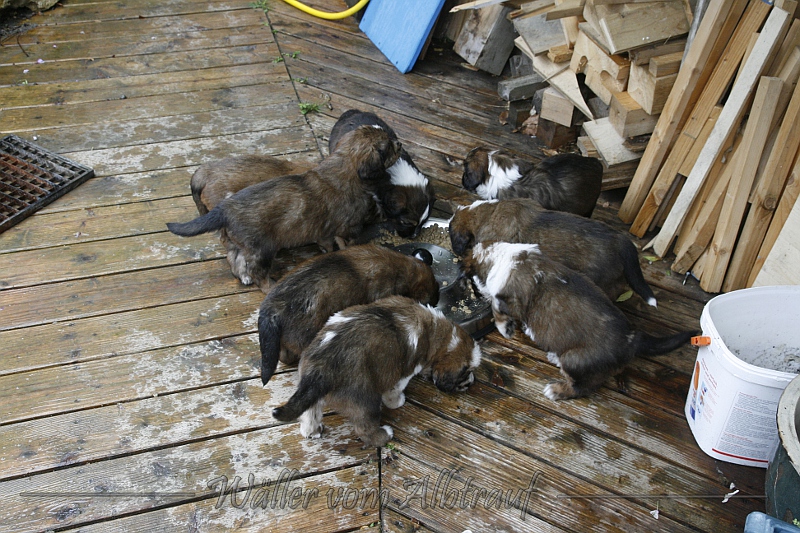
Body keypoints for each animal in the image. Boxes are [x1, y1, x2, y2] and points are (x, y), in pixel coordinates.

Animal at [166, 125, 402, 290]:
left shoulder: (323, 229)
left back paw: (243, 276)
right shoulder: (347, 229)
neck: (344, 165)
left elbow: (326, 241)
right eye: (388, 147)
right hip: (262, 249)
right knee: (258, 273)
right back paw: (269, 285)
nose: (399, 143)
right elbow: (344, 244)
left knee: (233, 258)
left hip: (239, 243)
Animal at [272, 295, 481, 447]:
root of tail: (321, 367)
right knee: (364, 427)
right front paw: (397, 402)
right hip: (366, 400)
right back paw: (384, 435)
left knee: (310, 411)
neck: (436, 331)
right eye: (466, 371)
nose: (472, 382)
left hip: (309, 385)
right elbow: (394, 390)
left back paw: (311, 431)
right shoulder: (403, 373)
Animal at [462, 241, 695, 400]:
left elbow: (497, 305)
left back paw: (556, 390)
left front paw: (505, 328)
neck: (501, 257)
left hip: (577, 360)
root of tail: (632, 338)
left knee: (582, 387)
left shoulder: (511, 298)